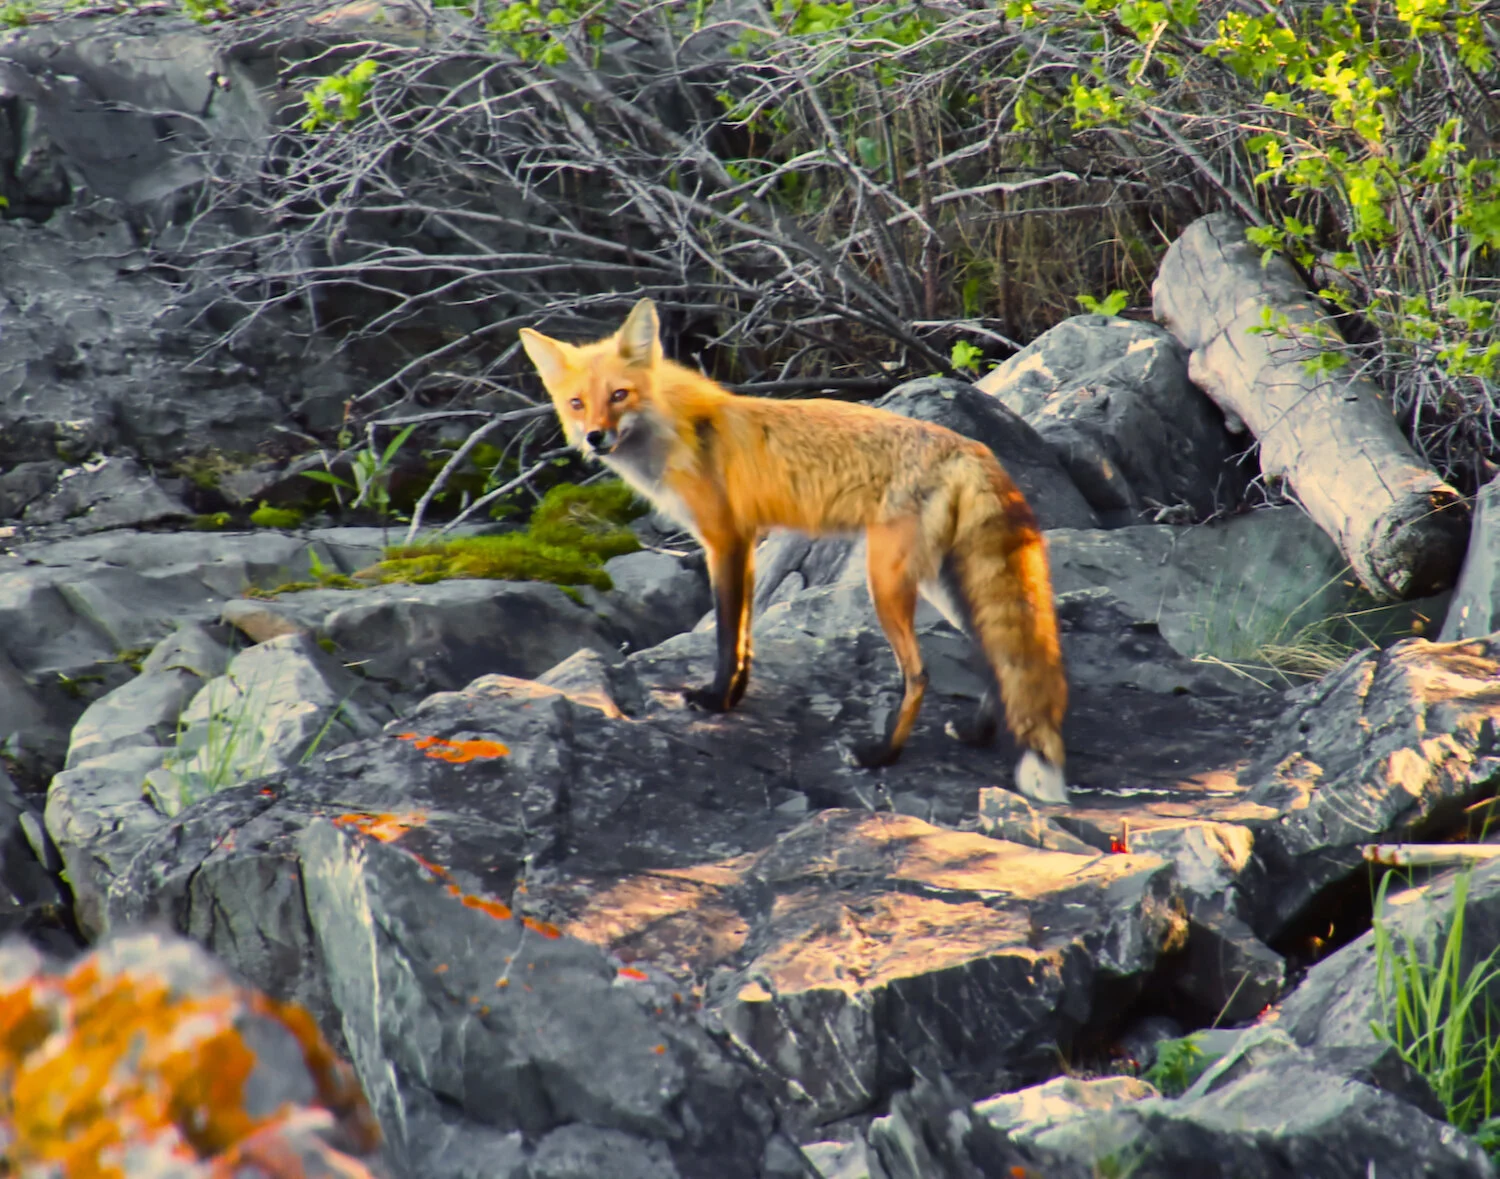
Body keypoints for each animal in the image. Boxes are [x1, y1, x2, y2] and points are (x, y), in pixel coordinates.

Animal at [519, 299, 1069, 803]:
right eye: (576, 403)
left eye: (619, 395)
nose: (595, 438)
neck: (681, 431)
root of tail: (969, 447)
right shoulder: (747, 543)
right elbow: (744, 634)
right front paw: (735, 697)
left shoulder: (724, 540)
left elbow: (727, 635)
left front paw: (714, 701)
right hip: (935, 582)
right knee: (997, 658)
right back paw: (976, 733)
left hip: (886, 582)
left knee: (920, 674)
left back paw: (881, 755)